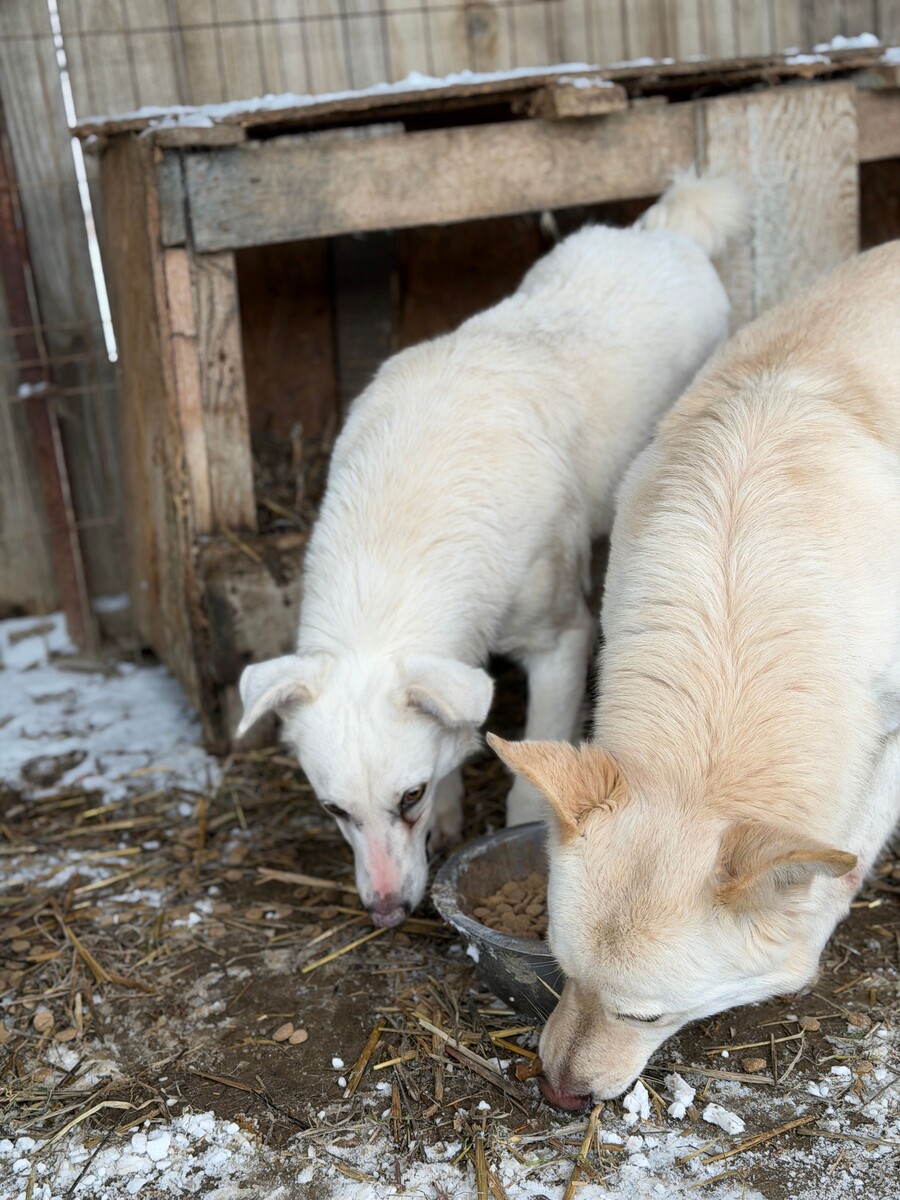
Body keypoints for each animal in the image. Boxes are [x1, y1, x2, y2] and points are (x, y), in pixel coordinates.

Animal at [236, 171, 746, 928]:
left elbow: (531, 773)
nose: (387, 913)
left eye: (408, 798)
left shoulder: (561, 641)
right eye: (334, 811)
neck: (397, 544)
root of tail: (663, 231)